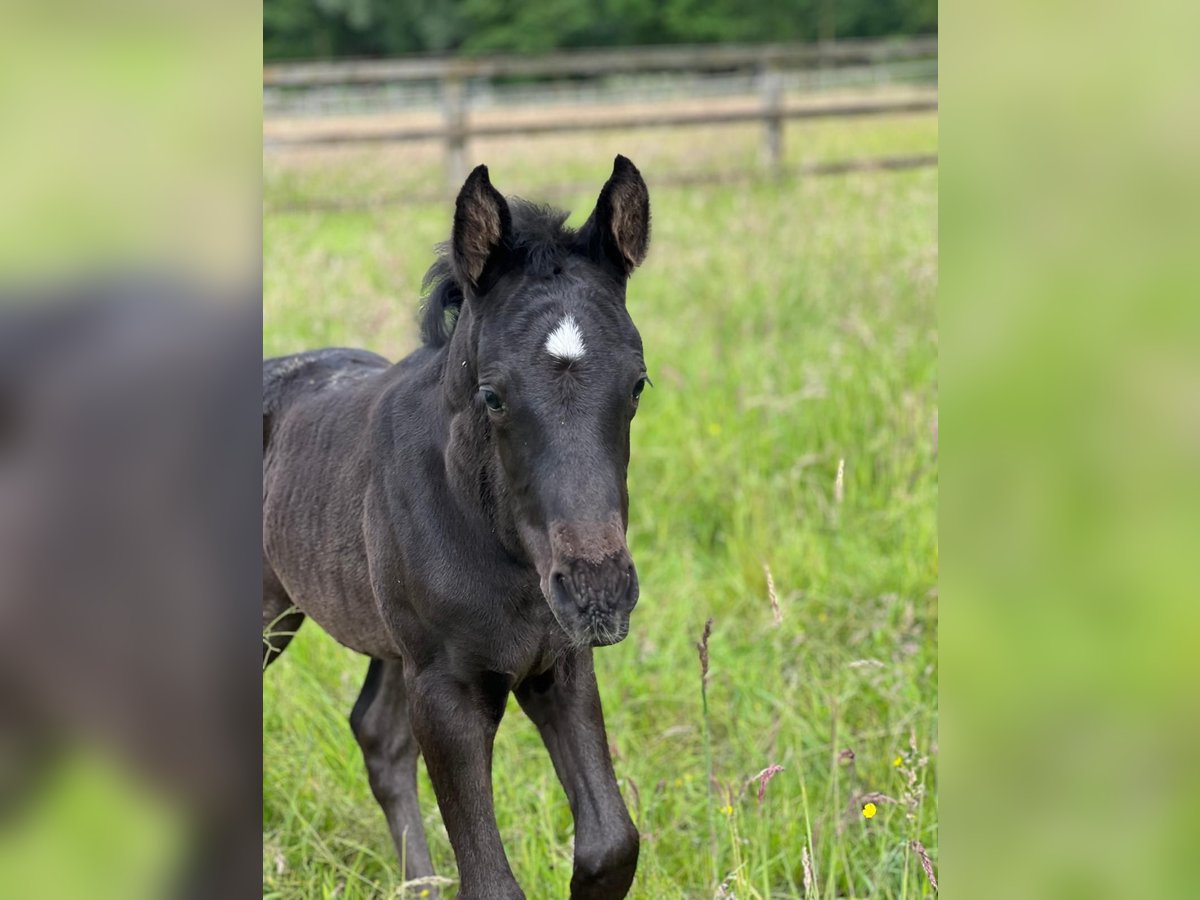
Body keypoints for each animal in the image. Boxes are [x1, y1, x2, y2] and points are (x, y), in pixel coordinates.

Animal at [265, 158, 657, 897]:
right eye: (493, 395)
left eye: (638, 385)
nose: (597, 592)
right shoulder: (447, 691)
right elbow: (493, 882)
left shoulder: (560, 664)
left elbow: (611, 845)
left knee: (378, 738)